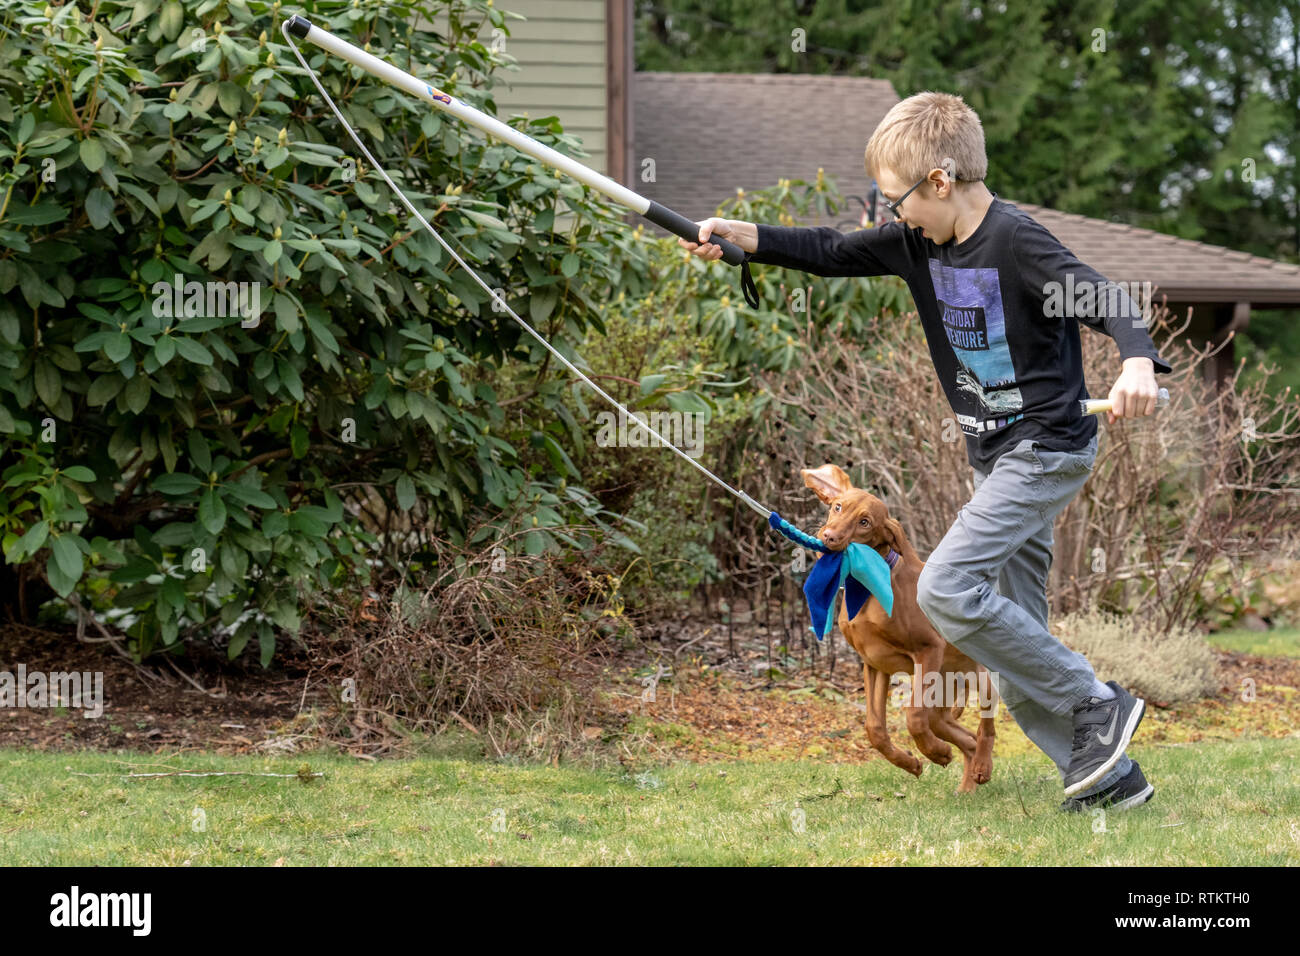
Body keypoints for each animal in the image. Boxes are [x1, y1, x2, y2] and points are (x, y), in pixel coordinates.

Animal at [800, 463, 993, 790]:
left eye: (865, 522)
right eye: (838, 507)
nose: (829, 537)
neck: (866, 586)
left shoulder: (929, 650)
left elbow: (913, 717)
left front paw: (936, 753)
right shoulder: (875, 664)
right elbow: (874, 728)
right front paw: (912, 762)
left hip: (981, 678)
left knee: (984, 728)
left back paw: (981, 765)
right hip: (942, 697)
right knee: (962, 736)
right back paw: (967, 786)